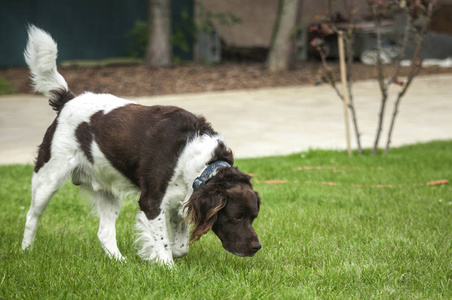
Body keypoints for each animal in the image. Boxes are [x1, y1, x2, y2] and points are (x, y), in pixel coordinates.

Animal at [22, 25, 262, 264]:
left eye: (253, 217)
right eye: (237, 217)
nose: (257, 247)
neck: (196, 158)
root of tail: (68, 100)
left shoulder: (181, 200)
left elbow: (180, 245)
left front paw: (157, 255)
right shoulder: (151, 202)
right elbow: (164, 244)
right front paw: (165, 265)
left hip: (107, 188)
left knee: (104, 232)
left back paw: (120, 262)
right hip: (48, 177)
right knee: (32, 216)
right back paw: (26, 251)